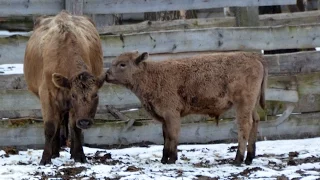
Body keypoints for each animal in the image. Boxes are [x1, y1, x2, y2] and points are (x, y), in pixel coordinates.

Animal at [24, 10, 104, 165]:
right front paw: (46, 158)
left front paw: (79, 155)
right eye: (73, 95)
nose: (84, 121)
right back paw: (55, 151)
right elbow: (50, 126)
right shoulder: (47, 95)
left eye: (95, 95)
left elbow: (75, 128)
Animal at [105, 50, 268, 165]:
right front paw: (164, 158)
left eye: (122, 64)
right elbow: (165, 135)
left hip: (243, 104)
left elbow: (173, 134)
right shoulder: (164, 117)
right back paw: (249, 158)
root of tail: (254, 57)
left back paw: (238, 159)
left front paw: (171, 159)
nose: (106, 75)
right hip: (251, 106)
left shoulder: (172, 114)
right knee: (256, 121)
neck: (153, 75)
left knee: (244, 126)